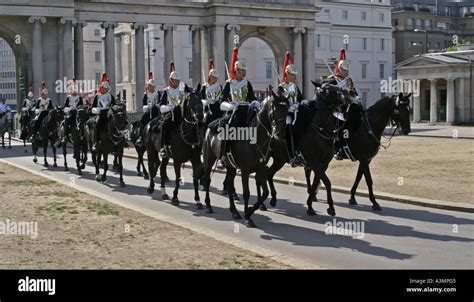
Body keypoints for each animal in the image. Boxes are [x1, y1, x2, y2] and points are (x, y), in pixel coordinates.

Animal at [201, 87, 286, 226]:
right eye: (275, 108)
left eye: (287, 109)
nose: (281, 132)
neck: (256, 138)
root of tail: (209, 126)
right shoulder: (245, 171)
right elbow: (246, 193)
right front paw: (248, 216)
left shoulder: (260, 169)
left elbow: (265, 192)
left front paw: (251, 210)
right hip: (209, 160)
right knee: (207, 180)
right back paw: (208, 205)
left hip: (231, 167)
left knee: (230, 187)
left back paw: (234, 211)